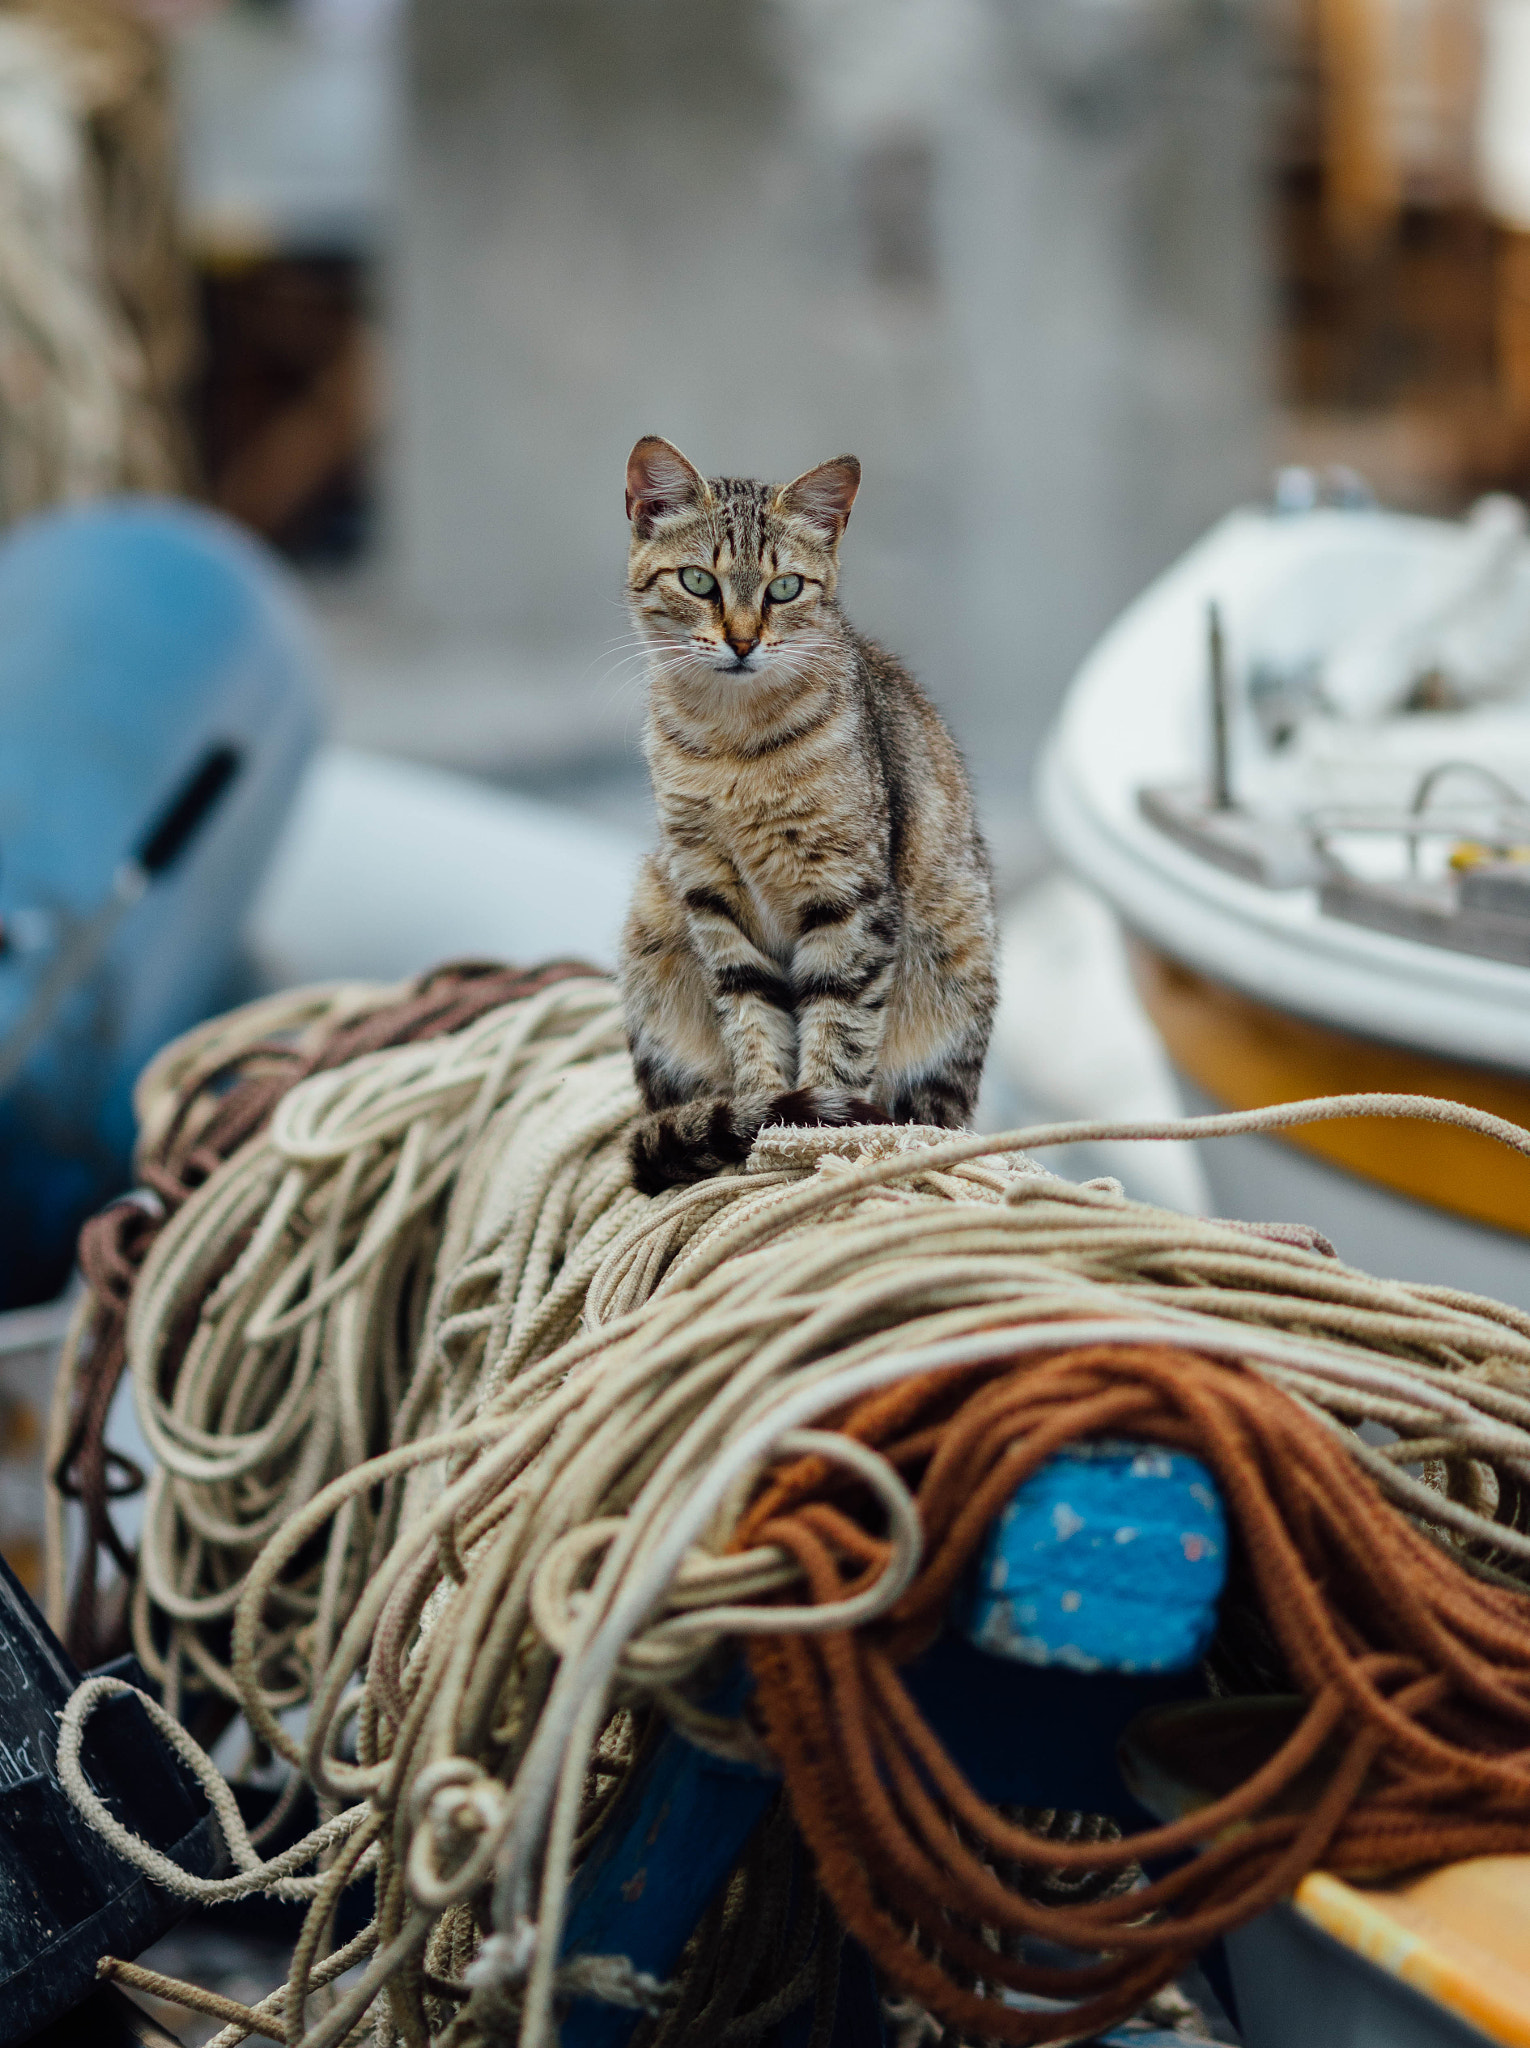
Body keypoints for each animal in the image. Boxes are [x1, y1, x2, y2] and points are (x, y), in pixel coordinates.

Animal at [614, 438, 999, 1196]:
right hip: (650, 922)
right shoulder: (709, 892)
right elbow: (751, 1020)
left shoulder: (849, 897)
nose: (741, 641)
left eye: (785, 588)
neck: (733, 746)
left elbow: (838, 1025)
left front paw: (812, 1139)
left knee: (935, 1112)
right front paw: (767, 1124)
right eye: (698, 581)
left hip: (960, 951)